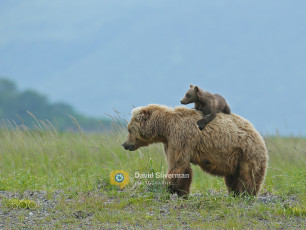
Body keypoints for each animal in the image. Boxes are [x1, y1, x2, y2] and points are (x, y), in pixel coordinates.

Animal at [122, 105, 268, 197]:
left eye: (129, 129)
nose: (124, 144)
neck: (165, 129)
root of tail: (259, 136)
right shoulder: (170, 142)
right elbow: (181, 166)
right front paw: (180, 192)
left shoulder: (181, 137)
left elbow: (178, 165)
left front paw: (169, 188)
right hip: (235, 159)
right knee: (232, 177)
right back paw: (235, 193)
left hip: (247, 153)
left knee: (248, 176)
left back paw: (246, 193)